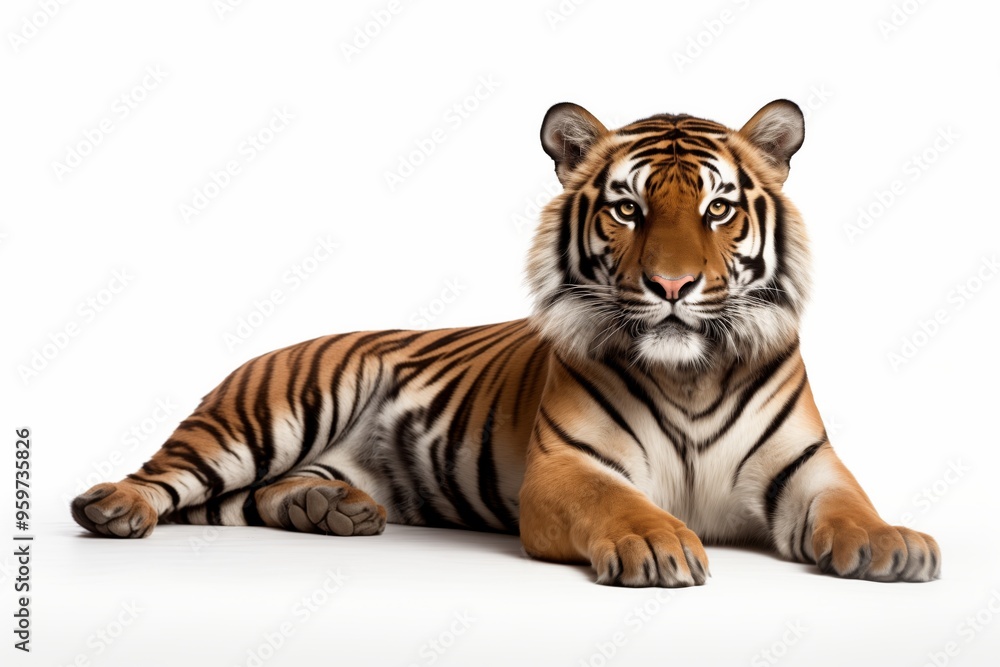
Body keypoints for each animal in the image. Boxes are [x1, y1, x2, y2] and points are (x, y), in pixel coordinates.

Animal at [71, 99, 940, 587]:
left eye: (718, 208)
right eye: (627, 209)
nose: (671, 286)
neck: (689, 374)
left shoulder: (809, 467)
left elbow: (852, 506)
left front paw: (893, 544)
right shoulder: (566, 469)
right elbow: (616, 502)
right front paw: (658, 542)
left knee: (259, 495)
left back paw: (333, 508)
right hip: (262, 416)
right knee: (166, 477)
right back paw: (111, 508)